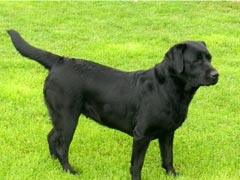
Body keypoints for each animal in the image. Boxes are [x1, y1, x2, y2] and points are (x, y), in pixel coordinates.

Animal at [7, 30, 218, 179]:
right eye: (196, 61)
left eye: (209, 58)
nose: (216, 75)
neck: (169, 88)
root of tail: (60, 61)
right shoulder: (141, 135)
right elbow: (137, 164)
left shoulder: (168, 132)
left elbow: (168, 157)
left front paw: (173, 175)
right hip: (68, 117)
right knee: (61, 145)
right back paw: (69, 171)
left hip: (60, 116)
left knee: (51, 137)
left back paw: (54, 165)